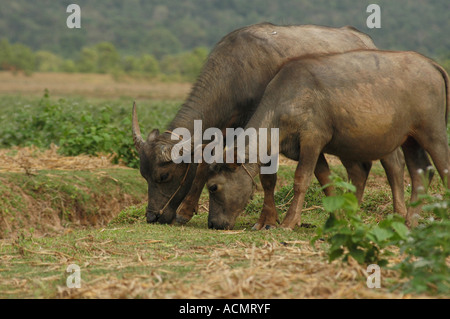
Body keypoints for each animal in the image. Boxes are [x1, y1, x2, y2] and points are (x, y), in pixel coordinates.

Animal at [130, 22, 412, 226]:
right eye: (143, 175)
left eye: (164, 176)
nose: (153, 216)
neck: (237, 73)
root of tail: (367, 41)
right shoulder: (226, 128)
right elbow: (201, 166)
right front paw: (185, 212)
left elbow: (268, 178)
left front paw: (267, 219)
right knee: (359, 168)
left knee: (393, 164)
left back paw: (400, 213)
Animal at [206, 49, 448, 230]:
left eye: (213, 187)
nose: (213, 224)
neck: (285, 103)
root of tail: (431, 64)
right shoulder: (310, 148)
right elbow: (325, 179)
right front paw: (337, 217)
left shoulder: (313, 139)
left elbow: (301, 179)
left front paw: (289, 222)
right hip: (410, 138)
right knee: (421, 172)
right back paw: (408, 222)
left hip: (433, 131)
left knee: (442, 168)